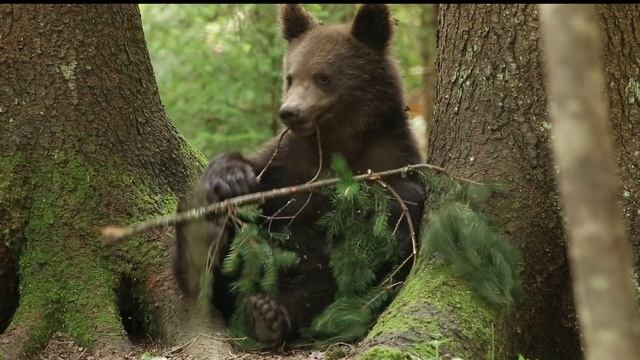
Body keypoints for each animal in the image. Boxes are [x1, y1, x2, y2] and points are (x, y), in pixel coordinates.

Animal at [172, 3, 428, 348]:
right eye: (290, 76)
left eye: (323, 76)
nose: (290, 112)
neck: (335, 144)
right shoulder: (288, 164)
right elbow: (252, 168)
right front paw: (231, 177)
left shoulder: (389, 153)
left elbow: (403, 203)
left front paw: (392, 208)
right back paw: (204, 235)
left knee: (318, 288)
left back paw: (270, 315)